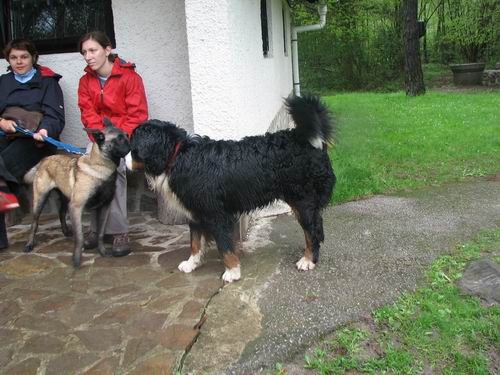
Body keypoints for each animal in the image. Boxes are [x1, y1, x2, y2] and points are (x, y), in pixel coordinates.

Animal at [24, 120, 130, 268]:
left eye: (126, 135)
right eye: (119, 139)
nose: (131, 143)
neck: (100, 168)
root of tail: (44, 160)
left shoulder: (104, 207)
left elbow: (101, 233)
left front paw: (102, 251)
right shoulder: (76, 207)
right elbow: (79, 237)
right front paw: (77, 259)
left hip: (65, 198)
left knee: (61, 212)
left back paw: (65, 231)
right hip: (40, 200)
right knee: (34, 223)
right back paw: (29, 244)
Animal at [126, 95, 336, 284]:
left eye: (132, 146)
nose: (122, 158)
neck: (177, 156)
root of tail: (303, 138)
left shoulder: (216, 214)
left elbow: (225, 246)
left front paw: (232, 272)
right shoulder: (195, 212)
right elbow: (194, 242)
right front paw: (191, 263)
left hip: (302, 199)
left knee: (312, 230)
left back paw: (308, 259)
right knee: (317, 225)